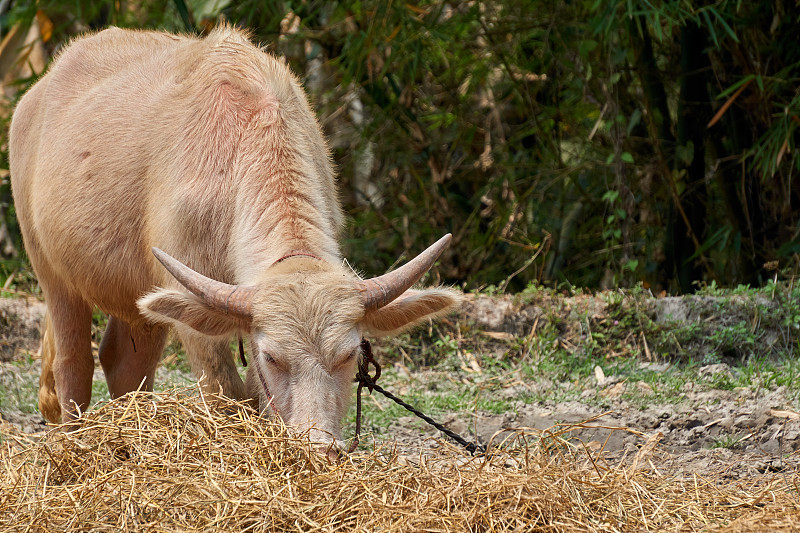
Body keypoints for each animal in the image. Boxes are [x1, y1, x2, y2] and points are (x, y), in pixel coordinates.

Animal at [9, 26, 460, 448]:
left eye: (350, 354)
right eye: (272, 357)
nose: (321, 446)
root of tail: (32, 98)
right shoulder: (193, 307)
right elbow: (226, 395)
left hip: (137, 293)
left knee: (124, 361)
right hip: (51, 271)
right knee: (73, 364)